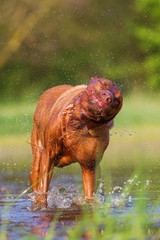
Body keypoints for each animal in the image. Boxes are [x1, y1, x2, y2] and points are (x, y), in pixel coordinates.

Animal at [30, 76, 122, 204]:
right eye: (104, 84)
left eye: (117, 101)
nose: (108, 98)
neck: (80, 124)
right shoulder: (48, 156)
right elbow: (42, 189)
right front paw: (41, 202)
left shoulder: (89, 166)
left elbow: (89, 194)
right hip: (36, 159)